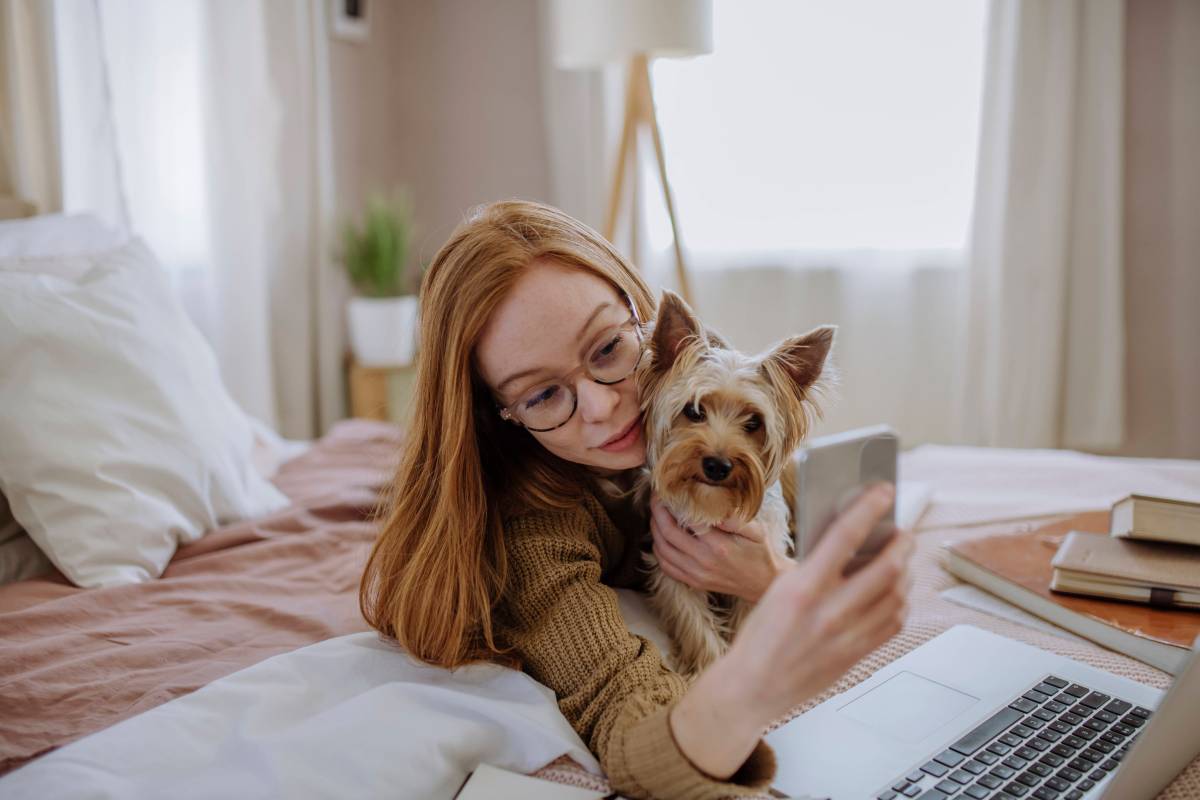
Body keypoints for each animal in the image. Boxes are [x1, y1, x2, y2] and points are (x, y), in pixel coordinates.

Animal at [638, 291, 835, 681]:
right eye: (694, 411)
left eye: (754, 422)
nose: (717, 465)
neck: (712, 505)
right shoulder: (673, 570)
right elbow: (694, 622)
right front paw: (707, 670)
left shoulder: (756, 566)